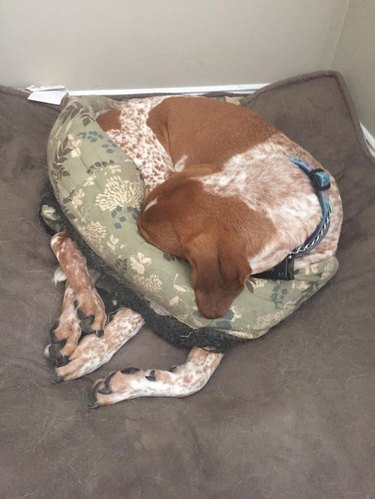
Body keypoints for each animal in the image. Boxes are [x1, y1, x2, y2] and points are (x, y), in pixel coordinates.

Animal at [44, 95, 344, 408]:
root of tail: (106, 113)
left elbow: (195, 378)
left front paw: (121, 380)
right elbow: (137, 313)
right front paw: (93, 352)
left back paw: (75, 319)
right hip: (154, 171)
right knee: (69, 241)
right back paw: (87, 306)